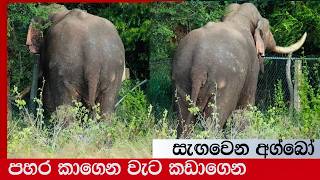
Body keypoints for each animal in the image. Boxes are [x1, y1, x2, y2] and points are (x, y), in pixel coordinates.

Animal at [172, 2, 308, 138]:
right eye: (268, 30)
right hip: (224, 84)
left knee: (184, 117)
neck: (237, 16)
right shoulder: (252, 67)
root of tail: (198, 66)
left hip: (181, 78)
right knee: (215, 119)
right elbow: (245, 105)